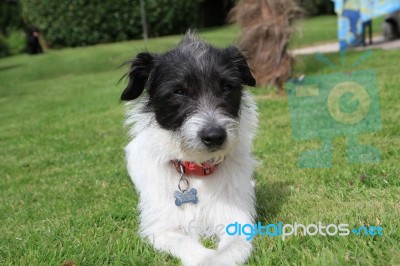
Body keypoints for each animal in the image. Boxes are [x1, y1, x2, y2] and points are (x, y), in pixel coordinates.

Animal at [121, 31, 256, 266]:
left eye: (226, 87)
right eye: (179, 91)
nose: (214, 136)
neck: (196, 168)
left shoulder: (236, 221)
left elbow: (227, 252)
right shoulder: (162, 228)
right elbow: (191, 248)